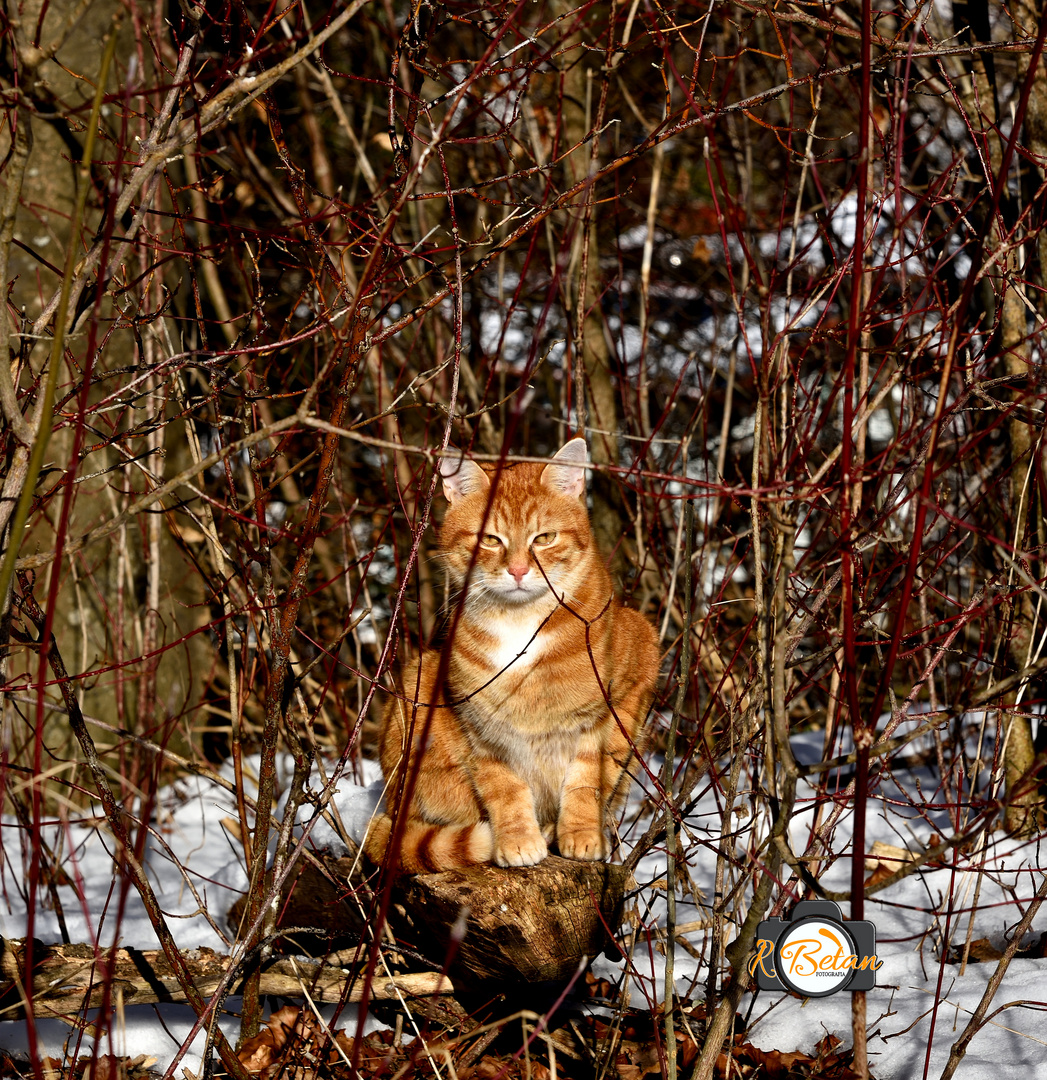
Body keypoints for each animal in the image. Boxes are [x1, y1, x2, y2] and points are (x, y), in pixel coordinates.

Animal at [363, 442, 656, 872]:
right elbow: (505, 789)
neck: (520, 625)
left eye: (544, 538)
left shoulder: (621, 700)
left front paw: (581, 835)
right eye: (490, 539)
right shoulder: (482, 733)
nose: (518, 570)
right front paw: (517, 839)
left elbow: (587, 780)